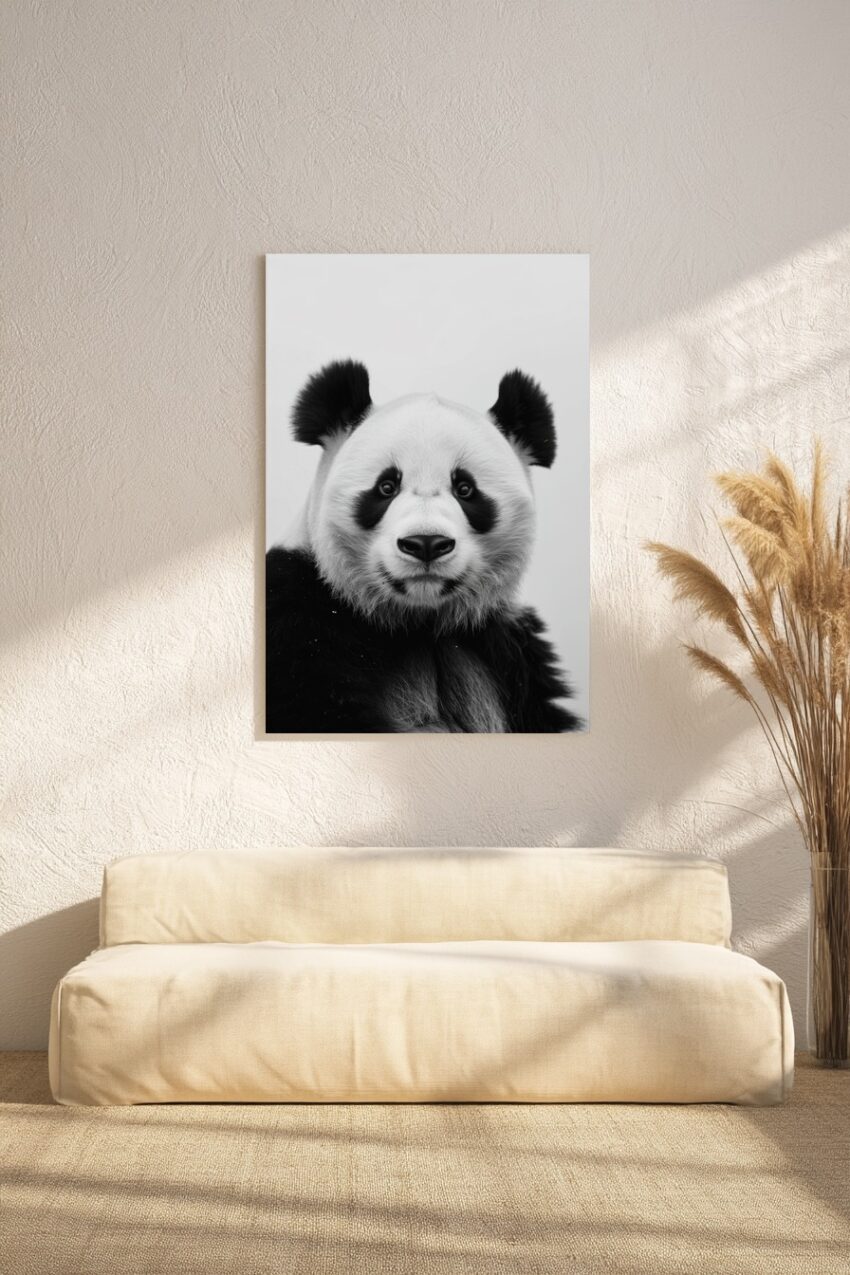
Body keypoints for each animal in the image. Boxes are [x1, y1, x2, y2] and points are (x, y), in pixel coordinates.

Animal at [266, 360, 579, 733]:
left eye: (465, 489)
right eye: (386, 487)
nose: (426, 544)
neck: (418, 623)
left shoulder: (507, 650)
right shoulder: (298, 616)